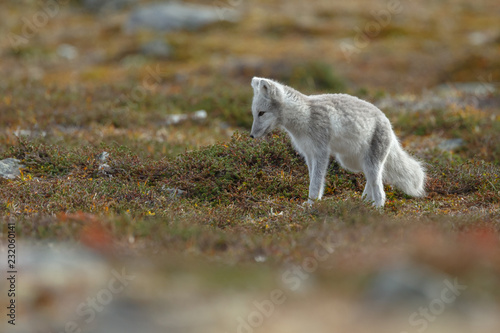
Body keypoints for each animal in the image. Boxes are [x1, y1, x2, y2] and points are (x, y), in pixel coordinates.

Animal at [250, 78, 426, 208]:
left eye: (261, 113)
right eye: (254, 113)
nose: (251, 136)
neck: (305, 116)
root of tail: (388, 123)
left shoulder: (321, 152)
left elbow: (315, 183)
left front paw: (311, 205)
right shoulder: (309, 154)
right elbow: (314, 181)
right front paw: (313, 202)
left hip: (369, 163)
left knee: (380, 189)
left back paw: (376, 208)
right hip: (352, 162)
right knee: (373, 179)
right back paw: (364, 202)